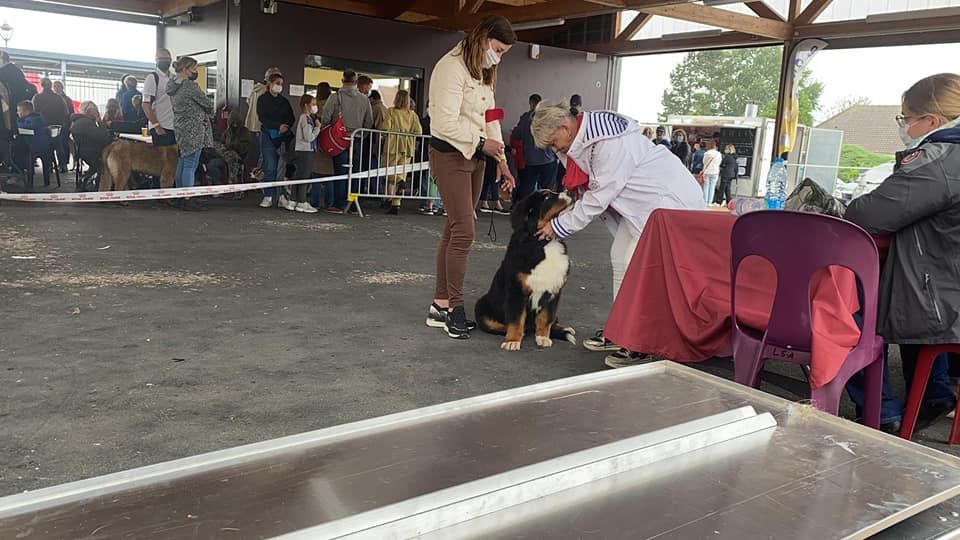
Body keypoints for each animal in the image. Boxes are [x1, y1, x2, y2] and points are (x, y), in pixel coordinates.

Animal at [474, 190, 572, 350]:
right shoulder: (516, 290)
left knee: (552, 320)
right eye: (546, 197)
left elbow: (545, 318)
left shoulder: (554, 291)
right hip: (482, 306)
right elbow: (516, 319)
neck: (543, 243)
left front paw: (543, 338)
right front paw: (512, 341)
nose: (568, 191)